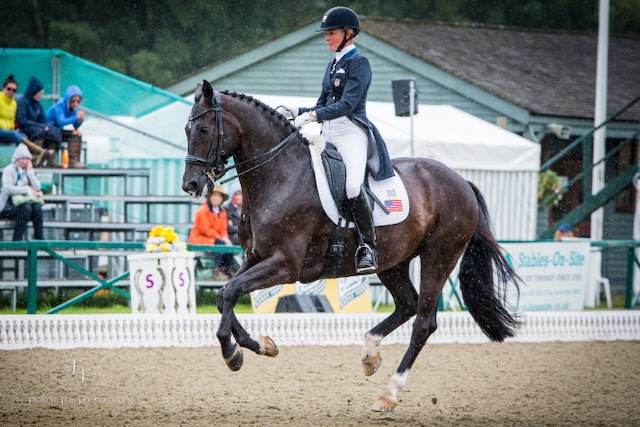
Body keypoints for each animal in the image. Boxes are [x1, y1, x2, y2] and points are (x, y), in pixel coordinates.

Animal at [180, 80, 520, 412]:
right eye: (186, 129)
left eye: (204, 129)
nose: (191, 185)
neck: (280, 175)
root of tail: (461, 182)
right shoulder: (254, 258)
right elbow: (225, 294)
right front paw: (260, 346)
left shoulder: (285, 265)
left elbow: (231, 293)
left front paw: (231, 353)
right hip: (393, 261)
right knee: (407, 304)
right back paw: (370, 354)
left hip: (439, 257)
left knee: (424, 323)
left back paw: (389, 394)